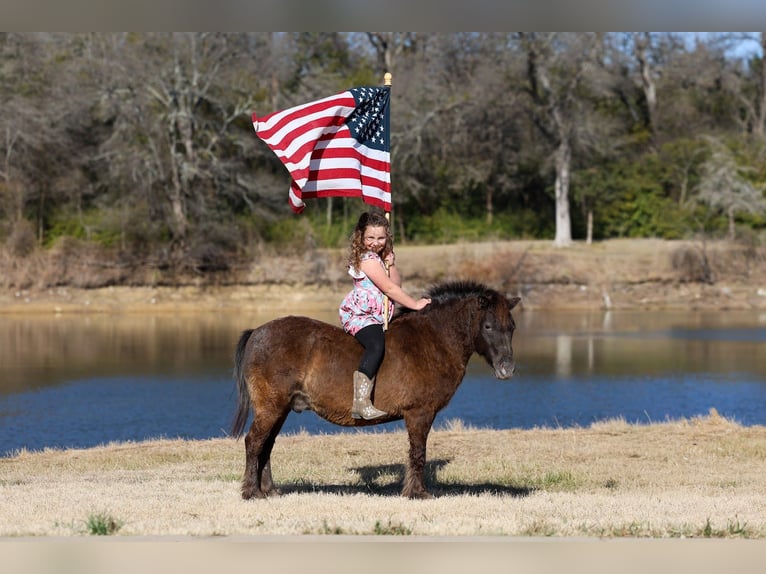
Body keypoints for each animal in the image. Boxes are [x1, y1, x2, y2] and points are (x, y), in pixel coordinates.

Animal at [231, 280, 521, 499]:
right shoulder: (420, 413)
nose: (507, 369)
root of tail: (257, 331)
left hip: (280, 409)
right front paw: (417, 493)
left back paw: (268, 490)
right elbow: (418, 452)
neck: (432, 340)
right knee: (254, 442)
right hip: (271, 407)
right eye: (488, 326)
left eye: (512, 327)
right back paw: (251, 492)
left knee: (266, 445)